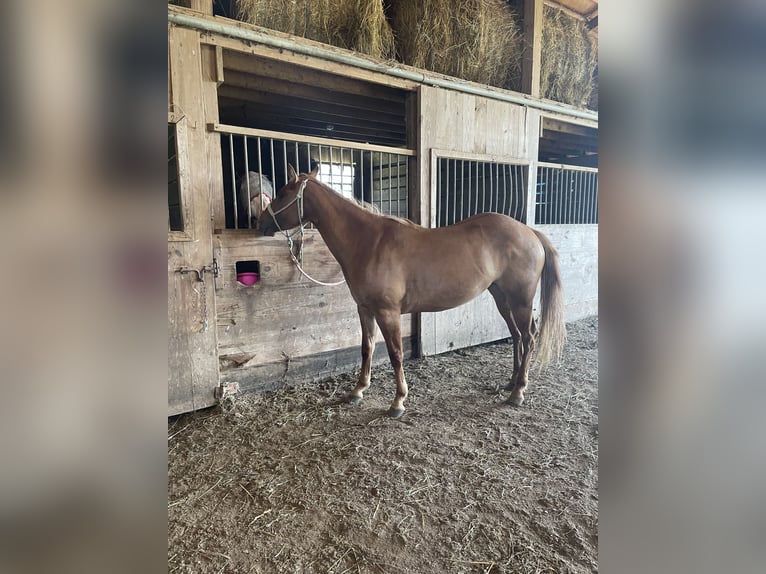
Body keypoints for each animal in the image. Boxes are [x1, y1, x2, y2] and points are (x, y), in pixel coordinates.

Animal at [261, 165, 566, 418]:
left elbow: (395, 354)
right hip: (501, 297)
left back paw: (519, 391)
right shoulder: (365, 309)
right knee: (516, 336)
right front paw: (358, 390)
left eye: (283, 192)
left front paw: (398, 401)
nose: (259, 222)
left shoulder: (388, 313)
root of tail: (529, 232)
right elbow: (366, 348)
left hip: (521, 300)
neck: (369, 242)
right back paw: (511, 382)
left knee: (529, 336)